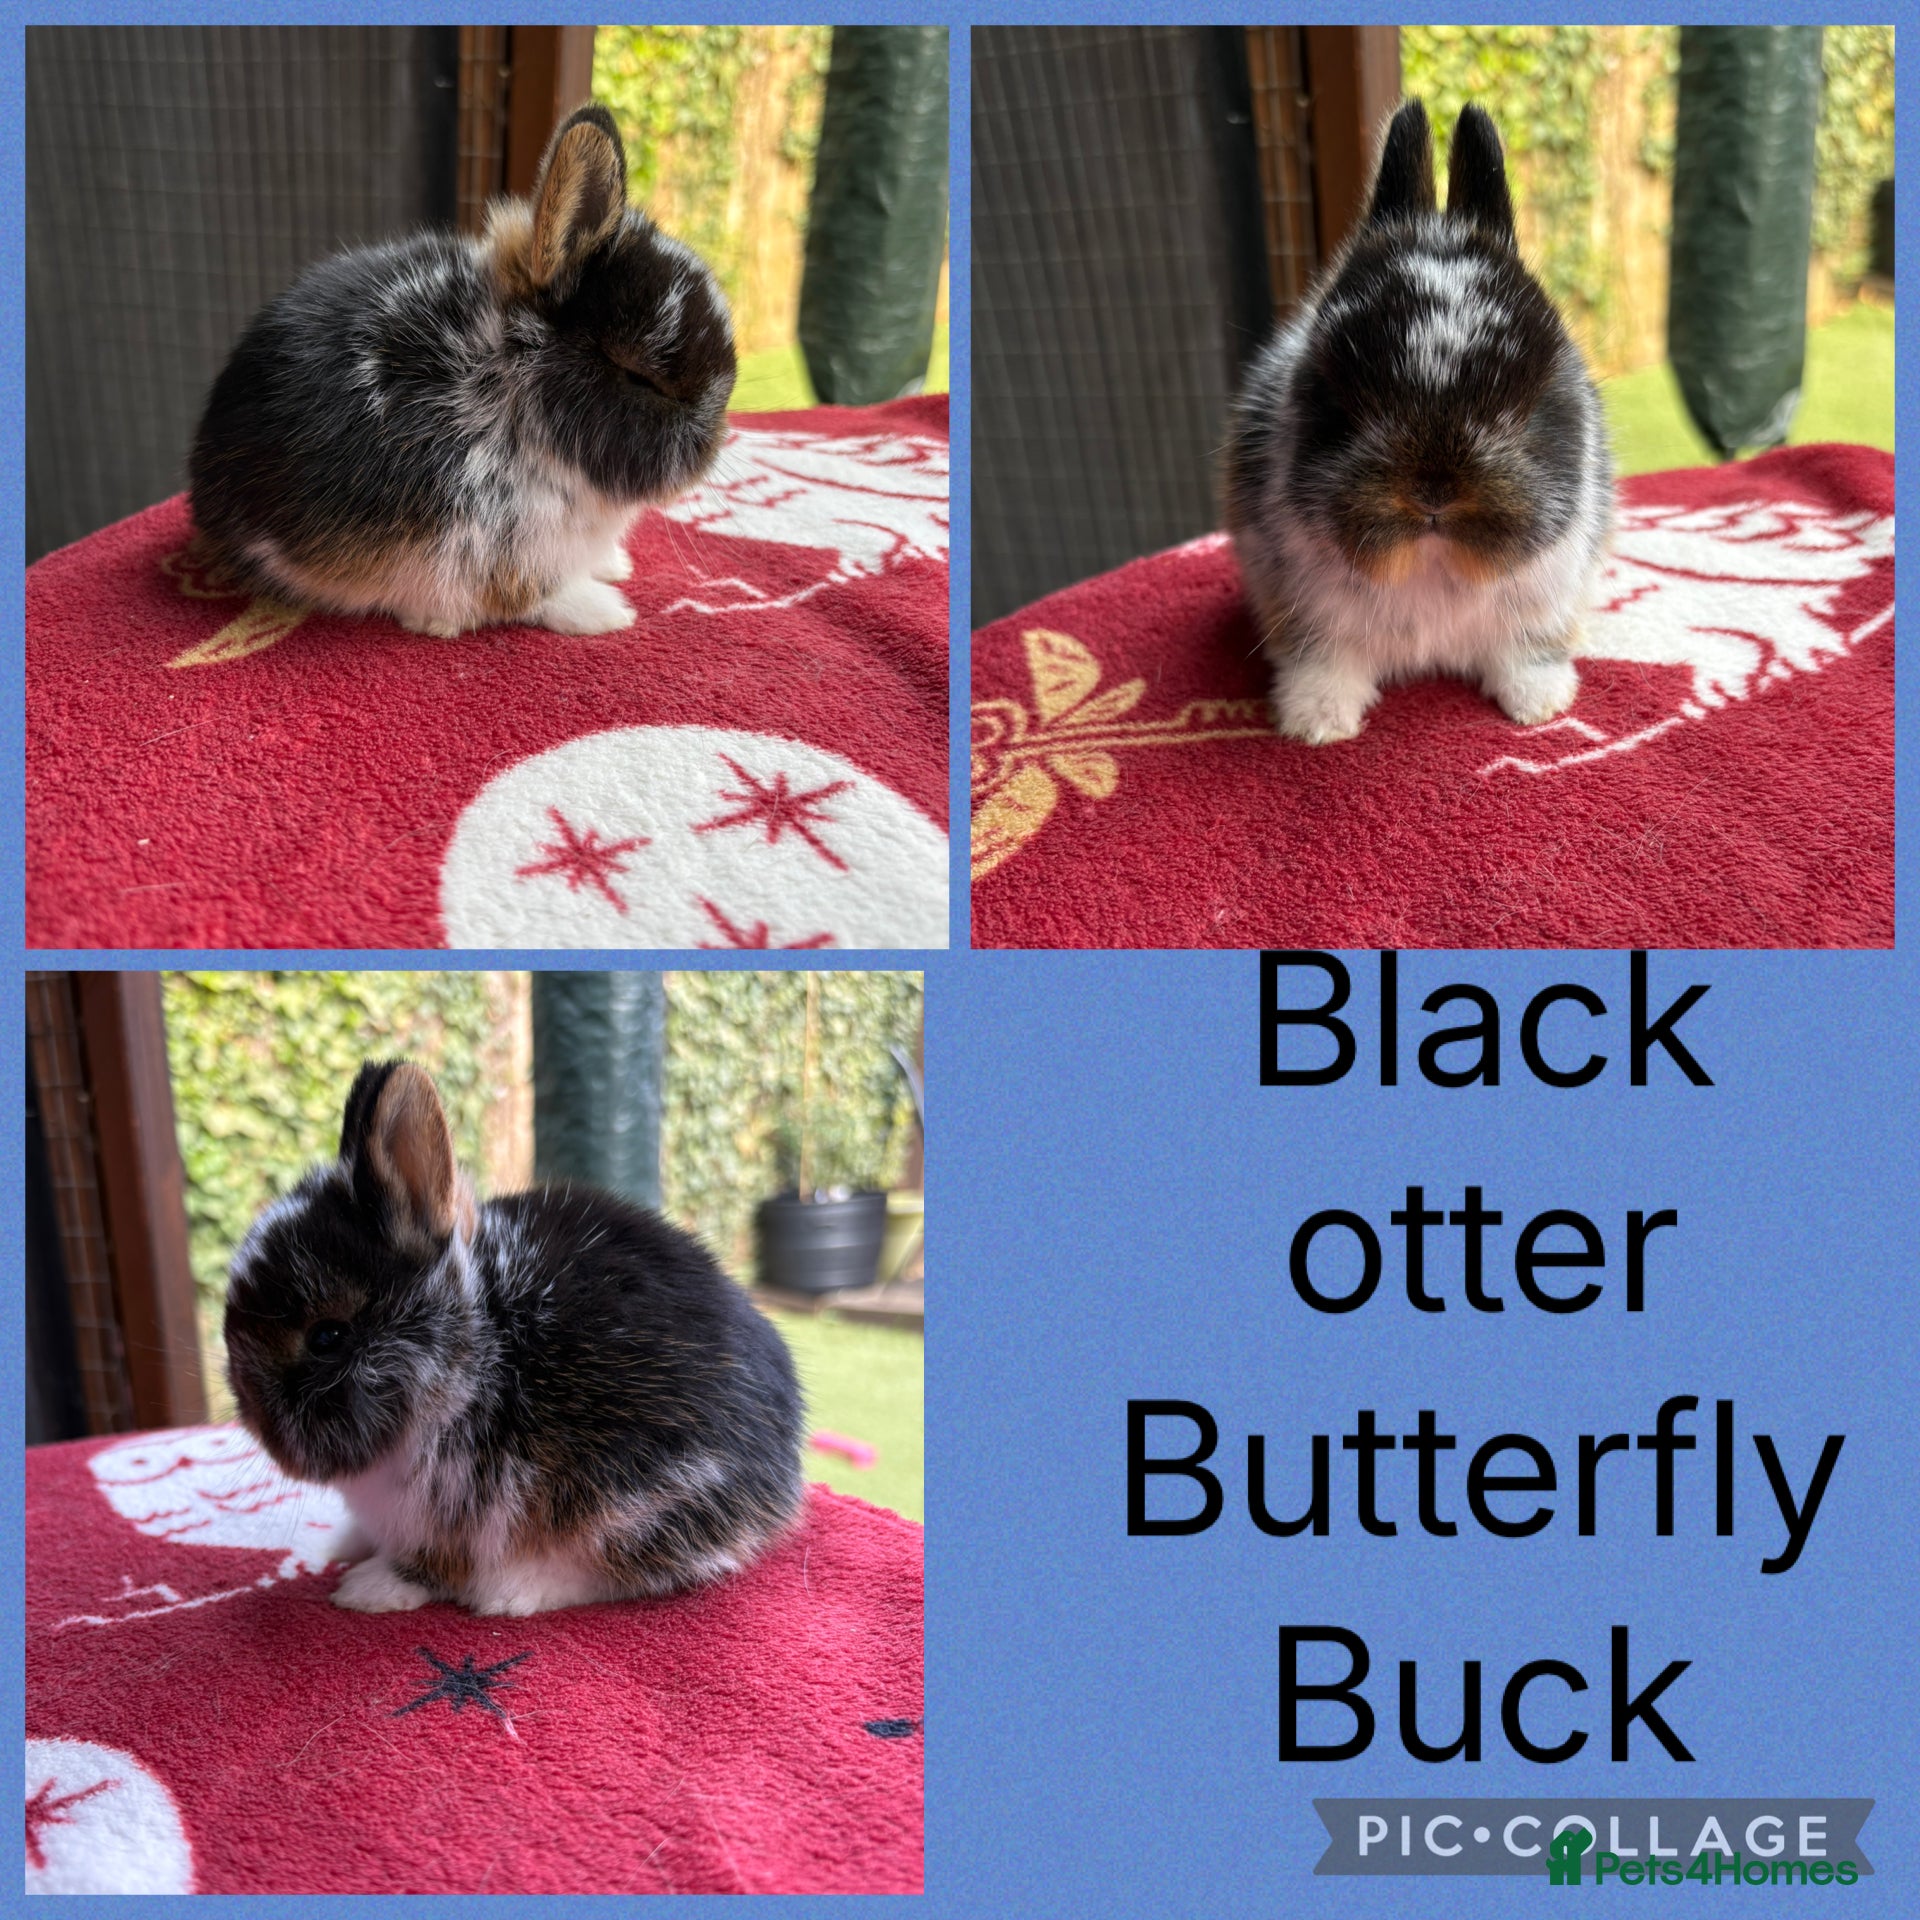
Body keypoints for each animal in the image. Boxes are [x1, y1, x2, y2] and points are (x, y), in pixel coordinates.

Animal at [188, 103, 736, 638]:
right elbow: (525, 594)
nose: (712, 447)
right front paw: (607, 612)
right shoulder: (490, 550)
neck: (507, 386)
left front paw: (613, 567)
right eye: (639, 375)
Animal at [224, 1060, 805, 1616]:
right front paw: (338, 1545)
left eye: (328, 1336)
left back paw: (509, 1592)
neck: (475, 1338)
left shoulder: (457, 1504)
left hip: (640, 1502)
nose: (258, 1422)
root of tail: (783, 1474)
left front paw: (368, 1589)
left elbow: (431, 1565)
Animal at [1222, 99, 1613, 745]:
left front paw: (1540, 706)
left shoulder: (1543, 607)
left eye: (1533, 403)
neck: (1432, 564)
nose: (1433, 493)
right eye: (1334, 397)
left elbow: (1526, 658)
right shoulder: (1307, 618)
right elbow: (1323, 665)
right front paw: (1317, 724)